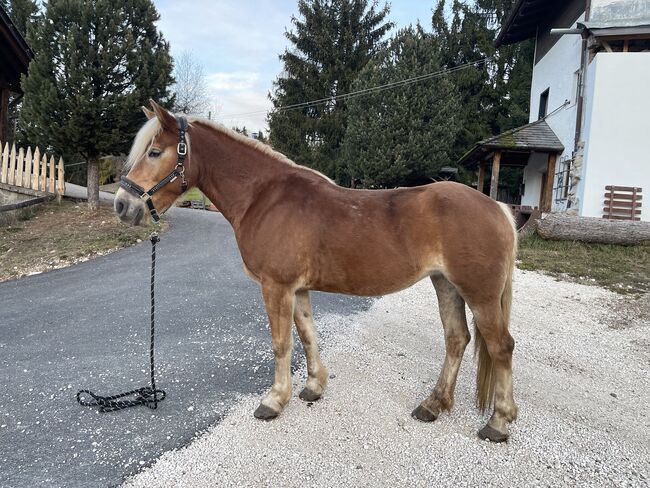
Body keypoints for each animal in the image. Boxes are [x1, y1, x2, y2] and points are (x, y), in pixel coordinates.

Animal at [115, 100, 516, 442]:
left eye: (154, 152)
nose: (123, 205)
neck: (264, 197)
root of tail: (498, 208)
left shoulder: (276, 286)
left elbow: (281, 343)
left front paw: (274, 401)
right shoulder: (298, 289)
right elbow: (307, 334)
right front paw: (313, 387)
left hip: (479, 294)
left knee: (501, 347)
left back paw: (498, 422)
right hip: (446, 284)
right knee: (457, 339)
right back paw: (433, 406)